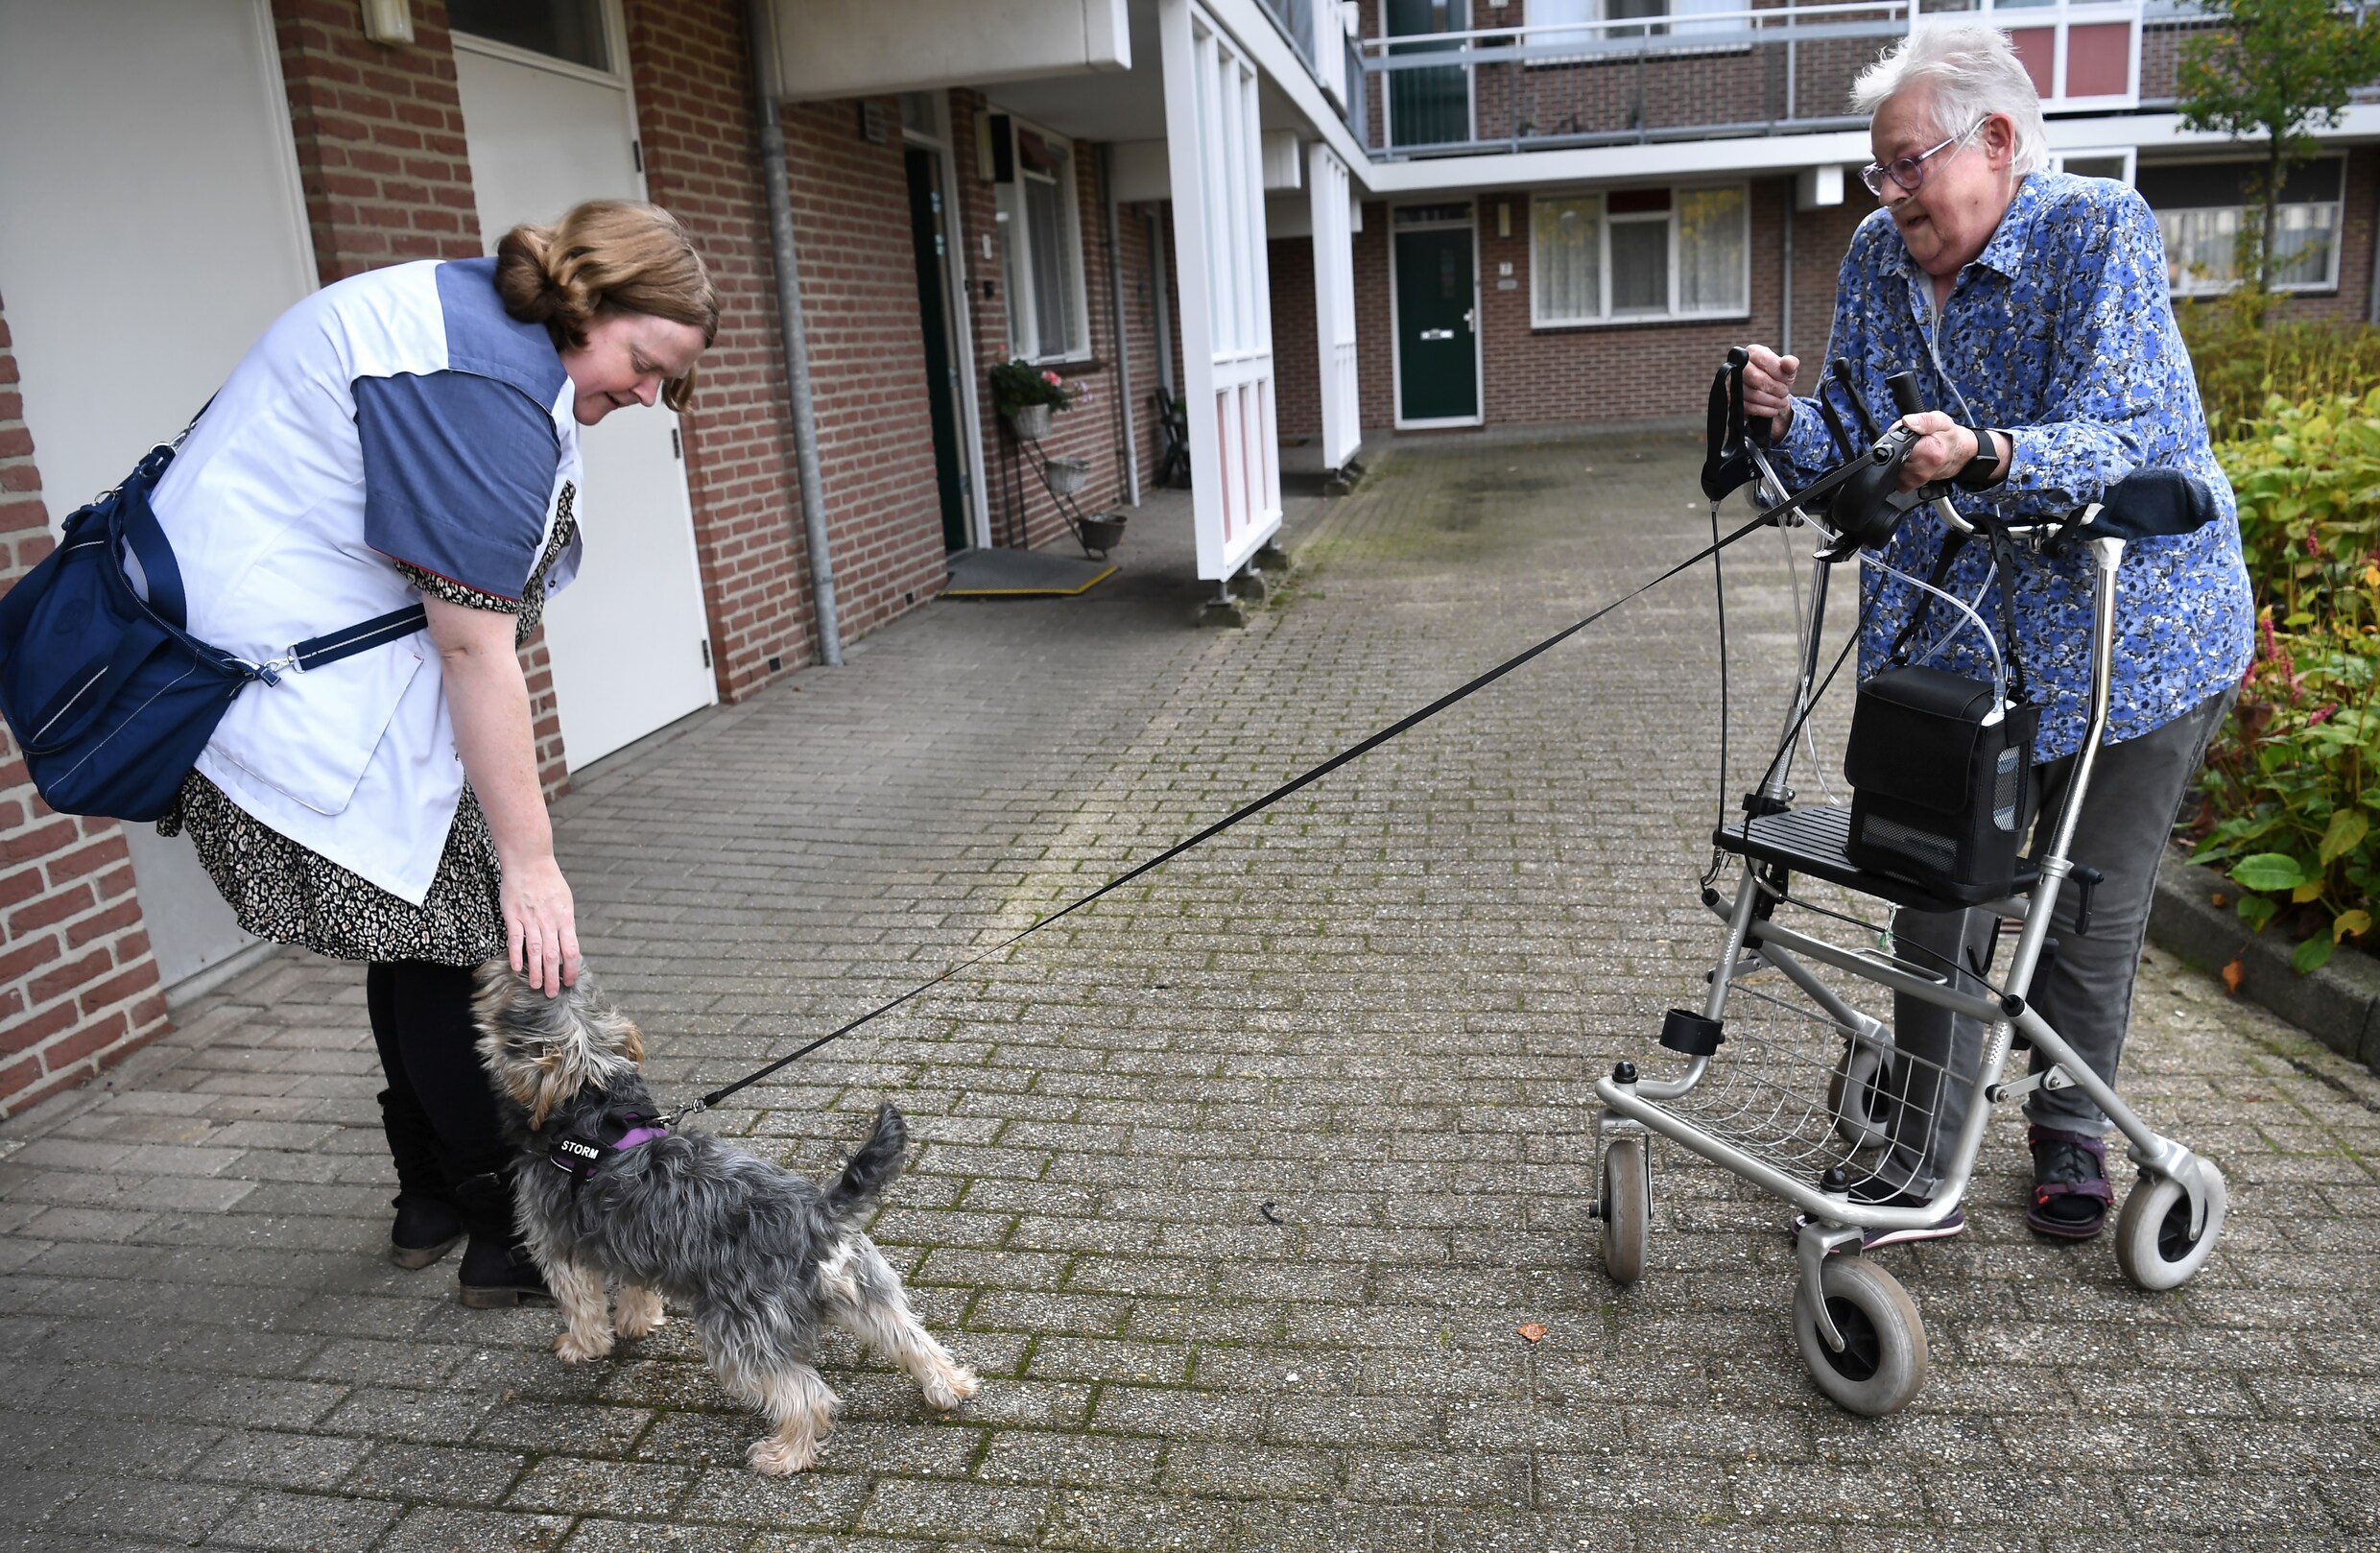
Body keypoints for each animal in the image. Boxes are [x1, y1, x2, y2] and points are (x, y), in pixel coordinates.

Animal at [473, 952, 975, 1476]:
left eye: (509, 992)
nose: (499, 957)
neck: (593, 1102)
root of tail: (817, 1216)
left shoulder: (561, 1243)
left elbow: (580, 1303)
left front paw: (581, 1346)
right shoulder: (630, 1241)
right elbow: (636, 1284)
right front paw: (637, 1321)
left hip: (738, 1325)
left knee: (805, 1393)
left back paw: (784, 1453)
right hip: (867, 1290)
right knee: (911, 1337)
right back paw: (950, 1385)